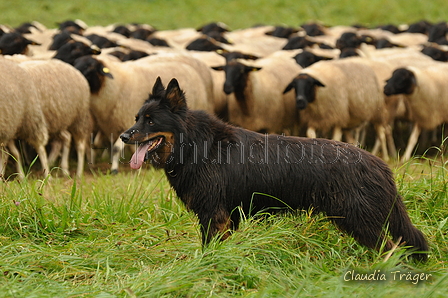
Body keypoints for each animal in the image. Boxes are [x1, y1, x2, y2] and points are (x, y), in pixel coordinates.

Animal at [121, 77, 428, 260]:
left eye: (150, 120)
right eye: (137, 118)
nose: (123, 136)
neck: (196, 146)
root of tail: (379, 164)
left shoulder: (213, 214)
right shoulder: (227, 217)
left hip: (359, 220)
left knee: (391, 249)